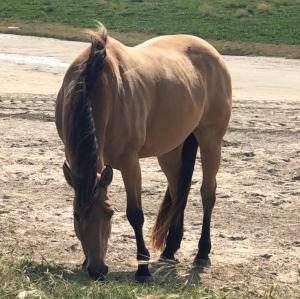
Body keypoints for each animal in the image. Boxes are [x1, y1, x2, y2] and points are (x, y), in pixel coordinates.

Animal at [54, 24, 232, 282]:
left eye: (109, 213)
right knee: (179, 192)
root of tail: (213, 53)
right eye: (77, 215)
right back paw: (170, 250)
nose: (97, 270)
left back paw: (202, 253)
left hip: (211, 140)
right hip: (171, 149)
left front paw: (142, 268)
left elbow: (135, 214)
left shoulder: (130, 163)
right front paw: (85, 259)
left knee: (207, 193)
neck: (95, 83)